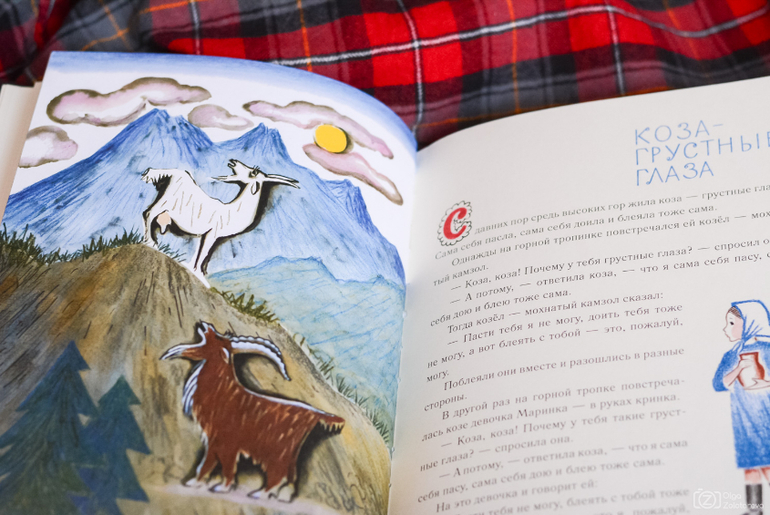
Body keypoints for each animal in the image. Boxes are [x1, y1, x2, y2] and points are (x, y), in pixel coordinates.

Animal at [142, 159, 299, 277]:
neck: (229, 213)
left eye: (253, 172)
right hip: (164, 202)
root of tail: (174, 172)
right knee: (148, 213)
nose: (233, 161)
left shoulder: (207, 234)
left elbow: (200, 252)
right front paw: (198, 273)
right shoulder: (212, 233)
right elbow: (204, 253)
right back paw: (151, 243)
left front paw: (196, 271)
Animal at [161, 322, 344, 502]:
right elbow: (207, 462)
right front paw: (194, 483)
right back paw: (283, 496)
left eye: (218, 338)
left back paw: (261, 493)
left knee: (278, 472)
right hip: (291, 452)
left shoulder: (227, 441)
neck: (224, 393)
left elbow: (225, 464)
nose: (204, 324)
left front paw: (222, 487)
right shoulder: (214, 440)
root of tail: (314, 413)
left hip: (278, 450)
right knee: (291, 474)